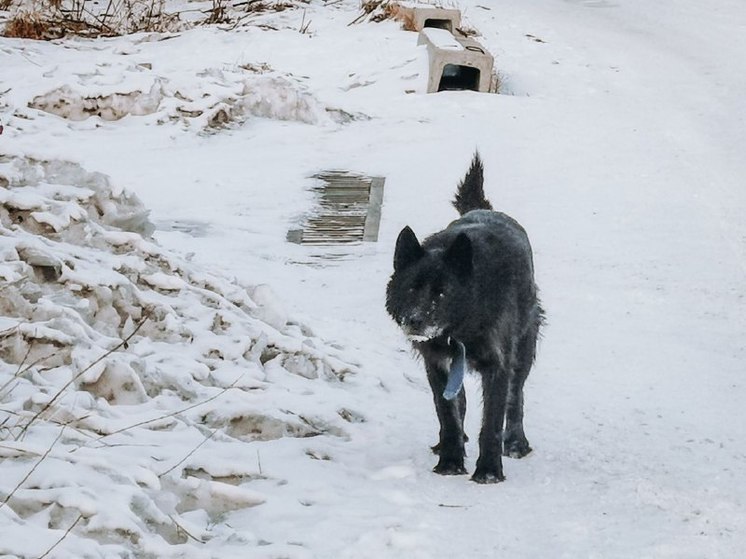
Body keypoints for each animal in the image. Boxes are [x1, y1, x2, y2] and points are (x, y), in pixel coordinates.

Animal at [384, 154, 540, 486]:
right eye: (412, 288)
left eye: (442, 293)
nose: (414, 322)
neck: (461, 327)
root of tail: (484, 209)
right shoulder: (437, 364)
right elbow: (448, 415)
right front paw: (451, 461)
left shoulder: (497, 365)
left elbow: (492, 422)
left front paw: (489, 471)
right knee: (460, 401)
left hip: (524, 348)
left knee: (516, 396)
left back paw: (516, 442)